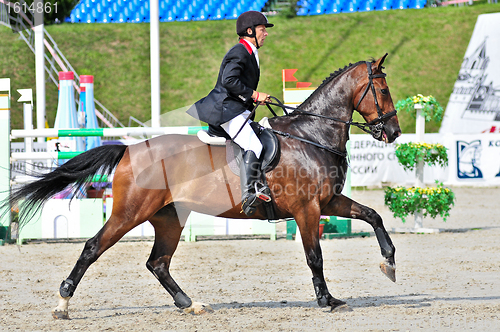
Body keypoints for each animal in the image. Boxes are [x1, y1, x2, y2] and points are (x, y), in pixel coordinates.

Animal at [3, 53, 402, 318]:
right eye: (382, 89)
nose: (394, 132)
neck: (311, 136)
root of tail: (130, 148)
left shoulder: (328, 202)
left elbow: (373, 215)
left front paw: (389, 264)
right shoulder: (307, 210)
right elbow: (314, 256)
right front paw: (326, 300)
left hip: (168, 218)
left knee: (158, 262)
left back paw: (189, 303)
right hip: (131, 213)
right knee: (92, 247)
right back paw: (62, 303)